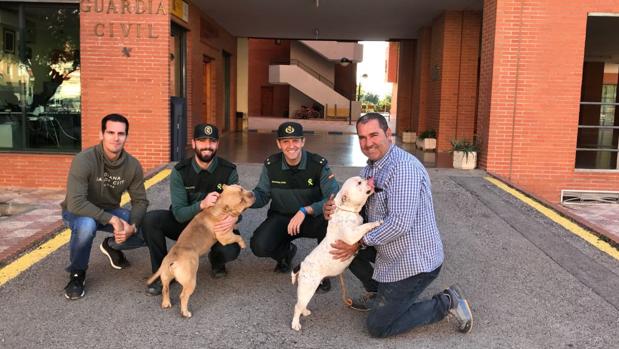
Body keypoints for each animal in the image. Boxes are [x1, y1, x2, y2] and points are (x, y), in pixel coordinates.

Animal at [148, 184, 254, 316]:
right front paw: (243, 243)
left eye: (242, 188)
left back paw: (166, 303)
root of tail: (172, 258)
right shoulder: (225, 237)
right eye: (241, 201)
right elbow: (237, 237)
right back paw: (185, 312)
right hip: (190, 281)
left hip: (166, 277)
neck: (218, 207)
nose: (252, 194)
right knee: (183, 296)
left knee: (165, 289)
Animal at [290, 175, 382, 330]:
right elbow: (364, 226)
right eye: (359, 183)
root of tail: (301, 265)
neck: (347, 210)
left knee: (301, 305)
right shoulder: (352, 235)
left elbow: (363, 224)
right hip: (307, 288)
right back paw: (295, 323)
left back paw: (305, 311)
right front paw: (376, 223)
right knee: (297, 306)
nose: (368, 177)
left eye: (362, 178)